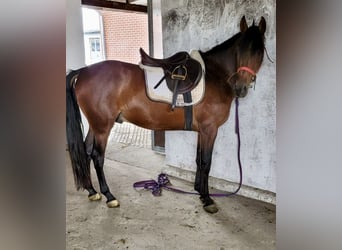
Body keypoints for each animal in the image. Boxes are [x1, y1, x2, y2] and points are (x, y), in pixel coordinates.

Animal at [65, 16, 266, 213]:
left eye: (259, 51)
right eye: (240, 49)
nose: (241, 88)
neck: (214, 76)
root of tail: (83, 71)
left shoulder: (202, 130)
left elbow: (198, 160)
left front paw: (199, 191)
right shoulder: (210, 129)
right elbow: (206, 163)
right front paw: (207, 199)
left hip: (95, 125)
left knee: (86, 151)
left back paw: (92, 191)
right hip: (103, 127)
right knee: (97, 157)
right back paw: (109, 196)